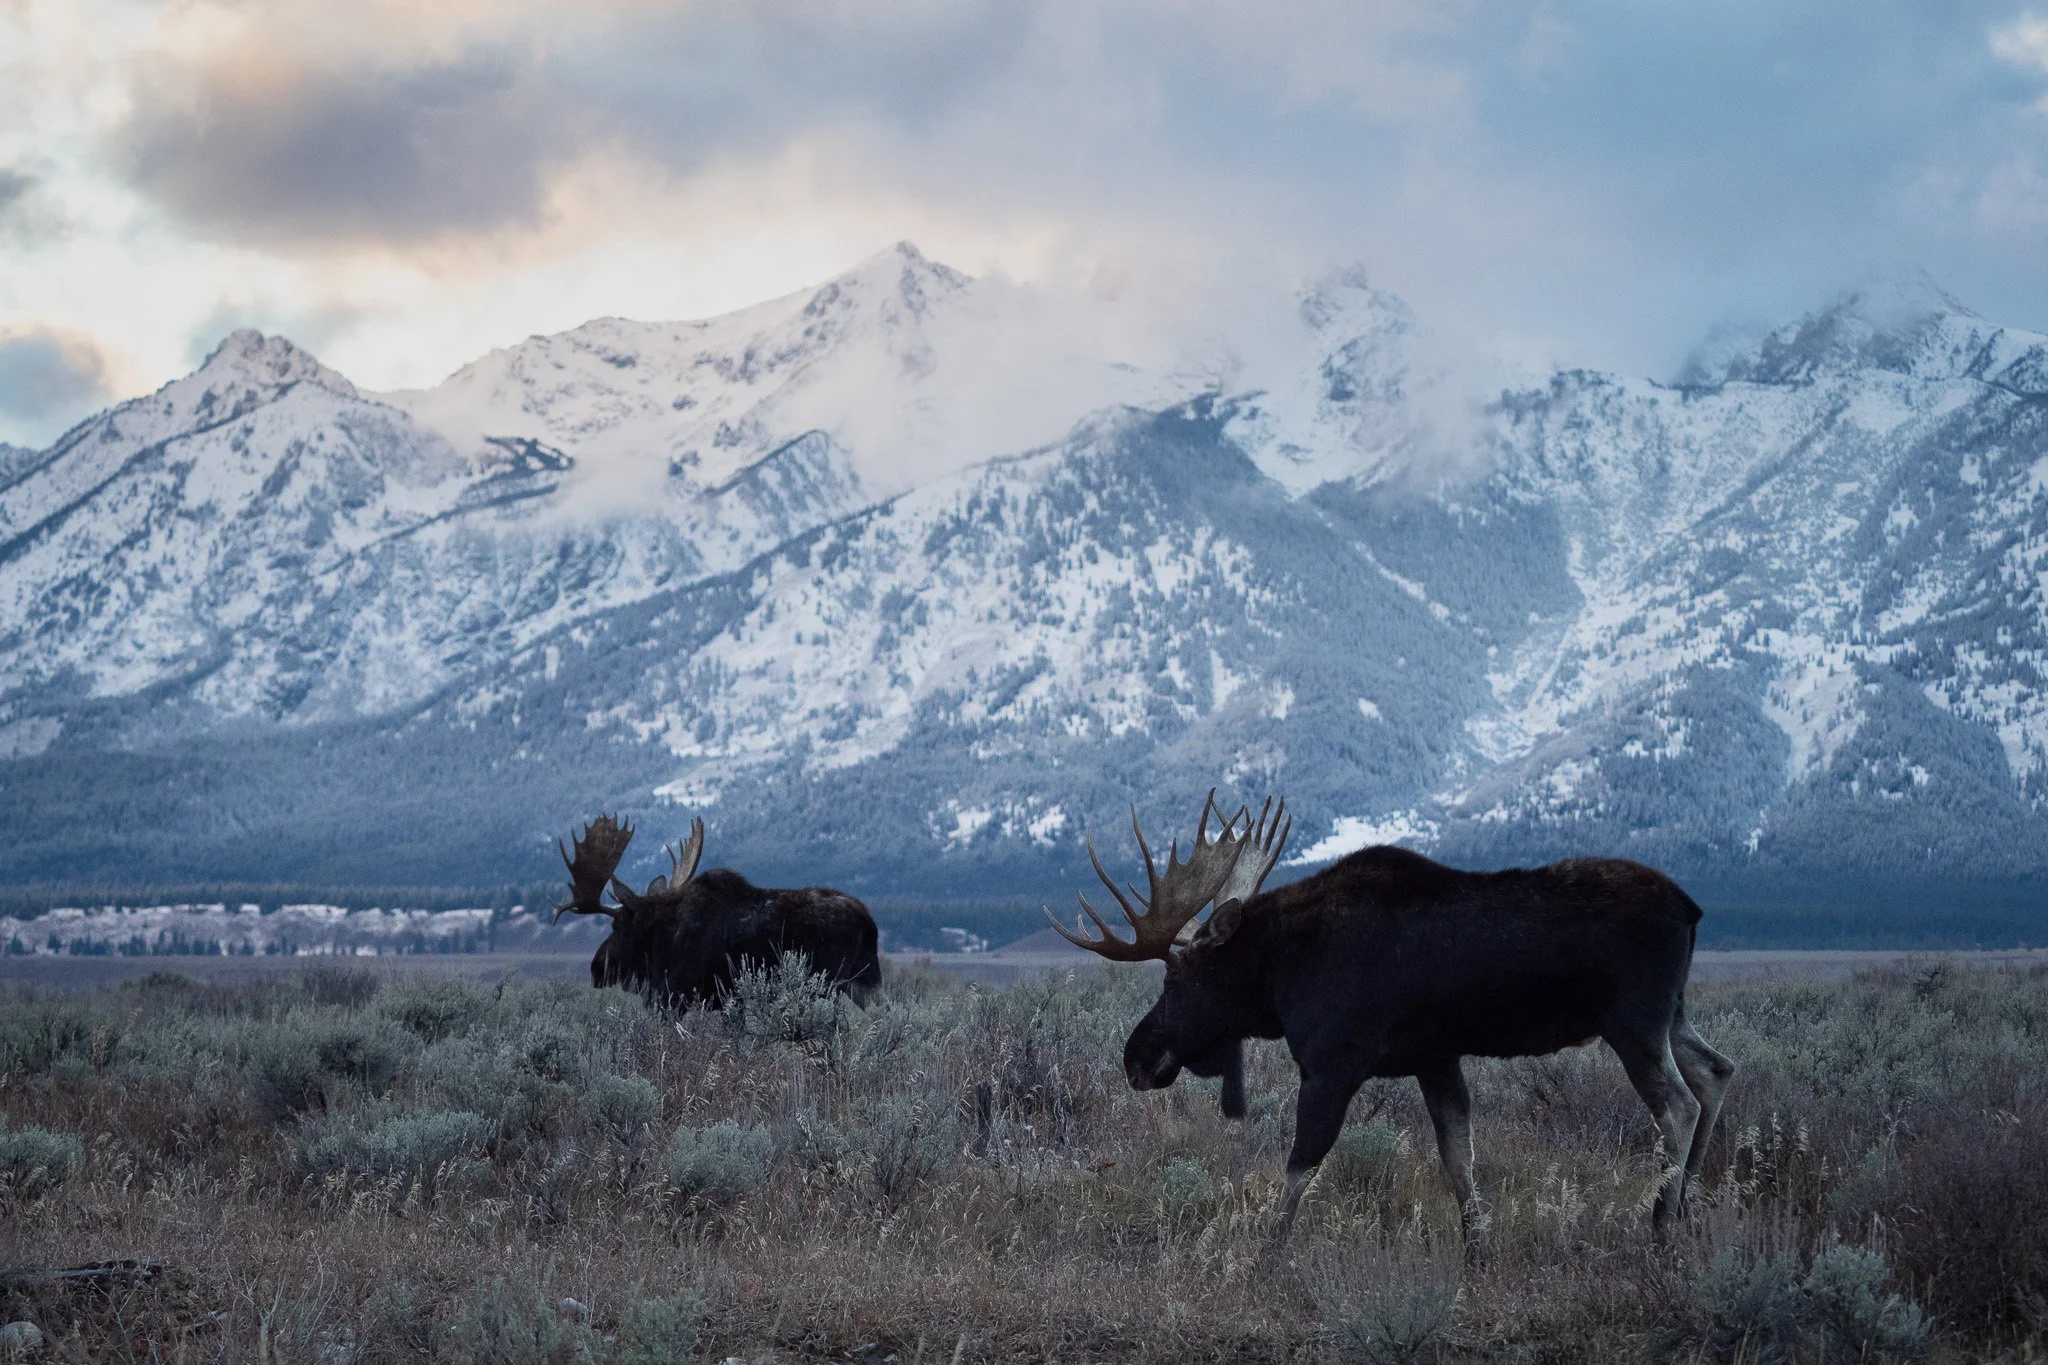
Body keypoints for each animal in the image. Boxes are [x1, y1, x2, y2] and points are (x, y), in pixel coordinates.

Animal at [555, 814, 881, 1008]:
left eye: (616, 926)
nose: (596, 967)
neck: (658, 938)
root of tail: (869, 923)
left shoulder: (674, 995)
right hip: (865, 983)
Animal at [1048, 792, 1734, 1252]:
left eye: (1175, 981)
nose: (1135, 1057)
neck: (1278, 978)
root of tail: (1693, 908)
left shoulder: (1332, 1063)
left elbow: (1300, 1164)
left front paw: (1269, 1254)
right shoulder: (1436, 1057)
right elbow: (1459, 1161)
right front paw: (1476, 1253)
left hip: (1633, 1021)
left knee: (1678, 1103)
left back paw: (1661, 1224)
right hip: (1671, 1014)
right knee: (1716, 1072)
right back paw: (1689, 1210)